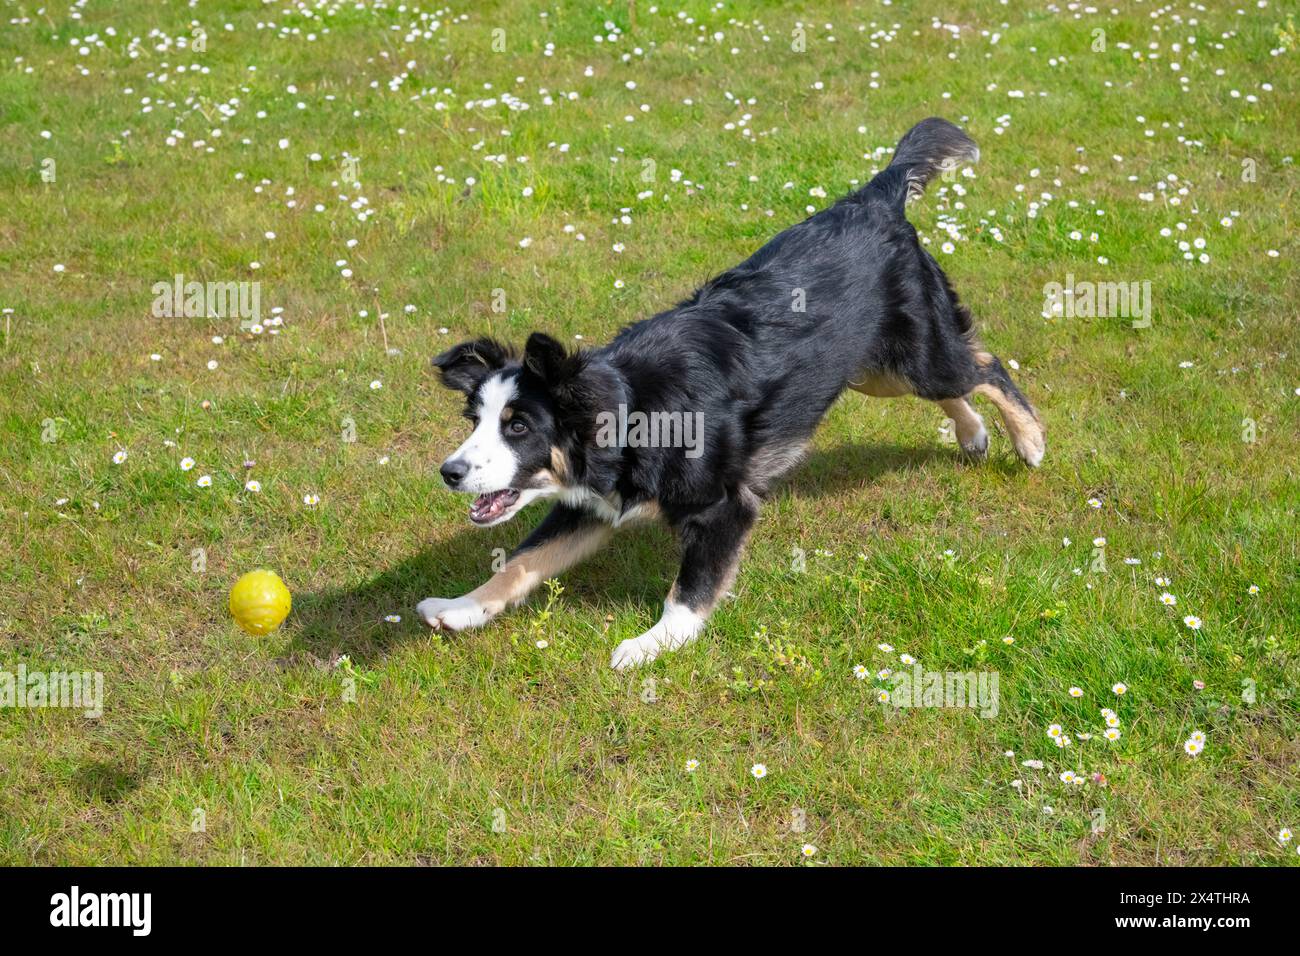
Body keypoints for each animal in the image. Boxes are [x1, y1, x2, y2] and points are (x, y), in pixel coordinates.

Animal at [421, 117, 1040, 665]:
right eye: (475, 421)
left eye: (519, 426)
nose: (449, 472)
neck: (635, 409)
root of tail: (875, 198)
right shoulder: (593, 503)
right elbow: (522, 560)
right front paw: (460, 608)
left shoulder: (722, 505)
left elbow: (688, 590)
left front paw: (652, 645)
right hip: (872, 369)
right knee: (959, 380)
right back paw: (973, 435)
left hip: (916, 356)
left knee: (986, 366)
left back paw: (1029, 440)